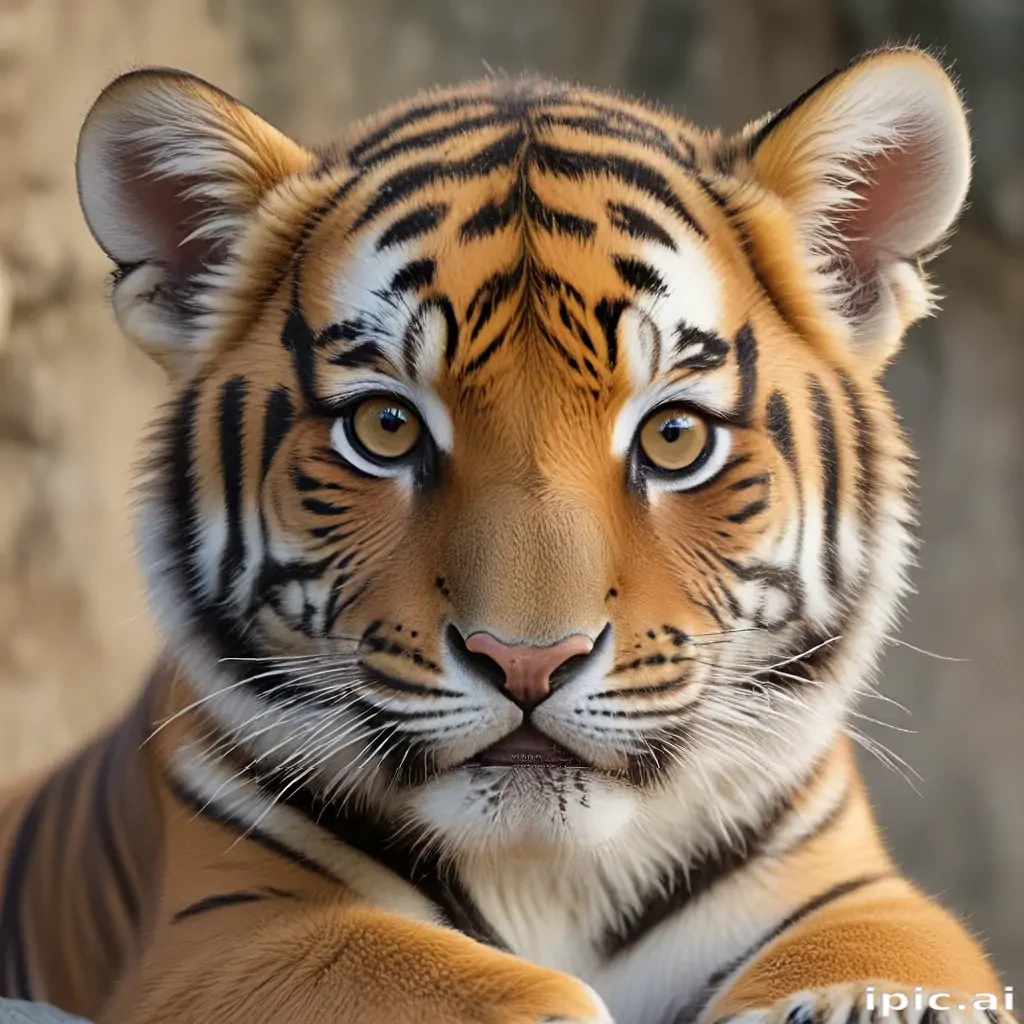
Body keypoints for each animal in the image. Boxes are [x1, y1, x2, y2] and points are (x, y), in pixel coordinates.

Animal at [0, 44, 1011, 1024]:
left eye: (674, 437)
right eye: (385, 428)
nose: (528, 664)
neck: (551, 877)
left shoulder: (858, 893)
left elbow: (887, 967)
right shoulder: (222, 932)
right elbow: (478, 988)